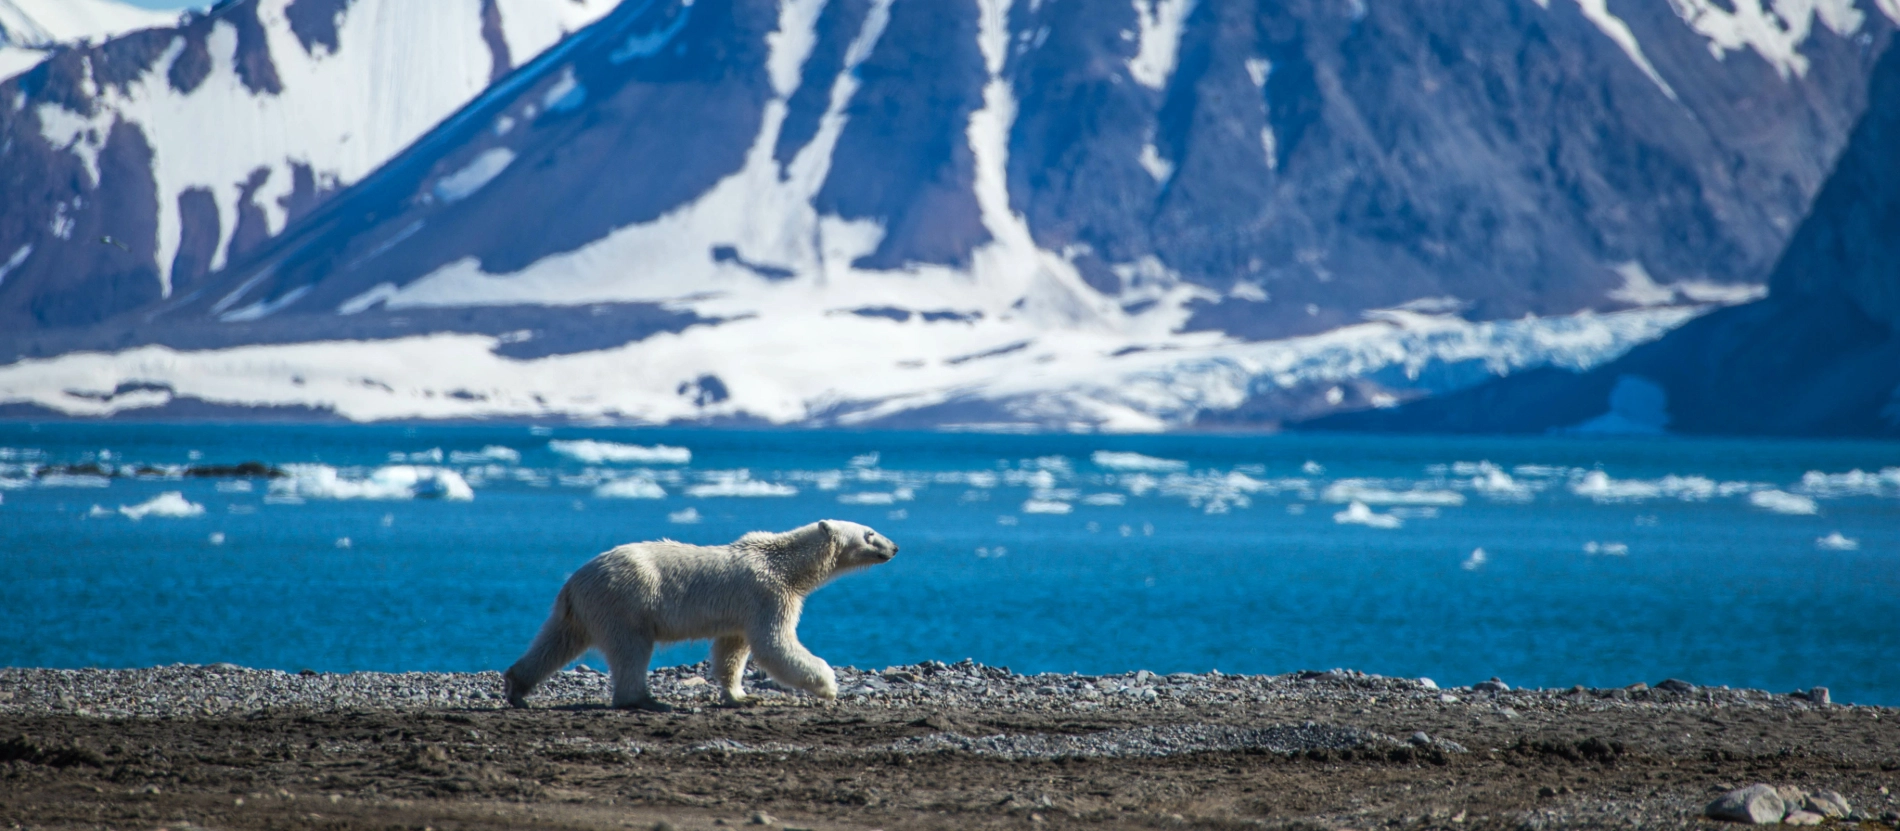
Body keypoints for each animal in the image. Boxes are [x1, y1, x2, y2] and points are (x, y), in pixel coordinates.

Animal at [501, 517, 893, 707]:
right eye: (870, 533)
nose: (894, 547)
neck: (785, 565)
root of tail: (574, 580)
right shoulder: (768, 594)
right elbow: (775, 644)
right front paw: (829, 686)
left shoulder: (742, 610)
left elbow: (732, 650)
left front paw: (740, 696)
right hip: (625, 600)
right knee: (631, 649)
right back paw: (644, 700)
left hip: (582, 609)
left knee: (556, 641)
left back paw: (517, 688)